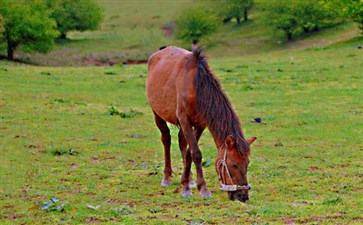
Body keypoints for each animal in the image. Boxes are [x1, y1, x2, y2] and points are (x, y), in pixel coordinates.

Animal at [145, 44, 256, 201]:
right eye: (233, 164)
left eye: (247, 163)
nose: (243, 196)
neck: (195, 87)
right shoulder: (184, 119)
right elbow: (196, 153)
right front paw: (200, 189)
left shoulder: (200, 124)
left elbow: (189, 153)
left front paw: (187, 183)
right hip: (158, 115)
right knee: (166, 139)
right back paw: (166, 177)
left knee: (182, 142)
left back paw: (190, 179)